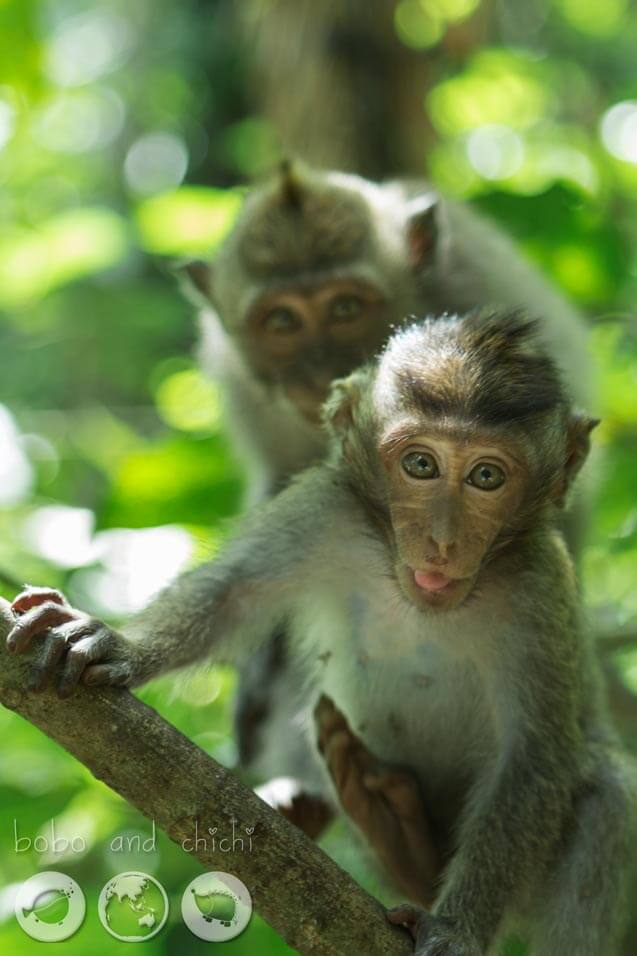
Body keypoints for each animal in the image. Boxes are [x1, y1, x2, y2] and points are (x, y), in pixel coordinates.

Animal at [7, 312, 632, 948]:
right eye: (421, 465)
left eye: (487, 476)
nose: (443, 540)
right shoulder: (324, 507)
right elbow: (233, 595)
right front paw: (119, 645)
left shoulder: (541, 587)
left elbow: (531, 757)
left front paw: (458, 930)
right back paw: (391, 832)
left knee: (608, 794)